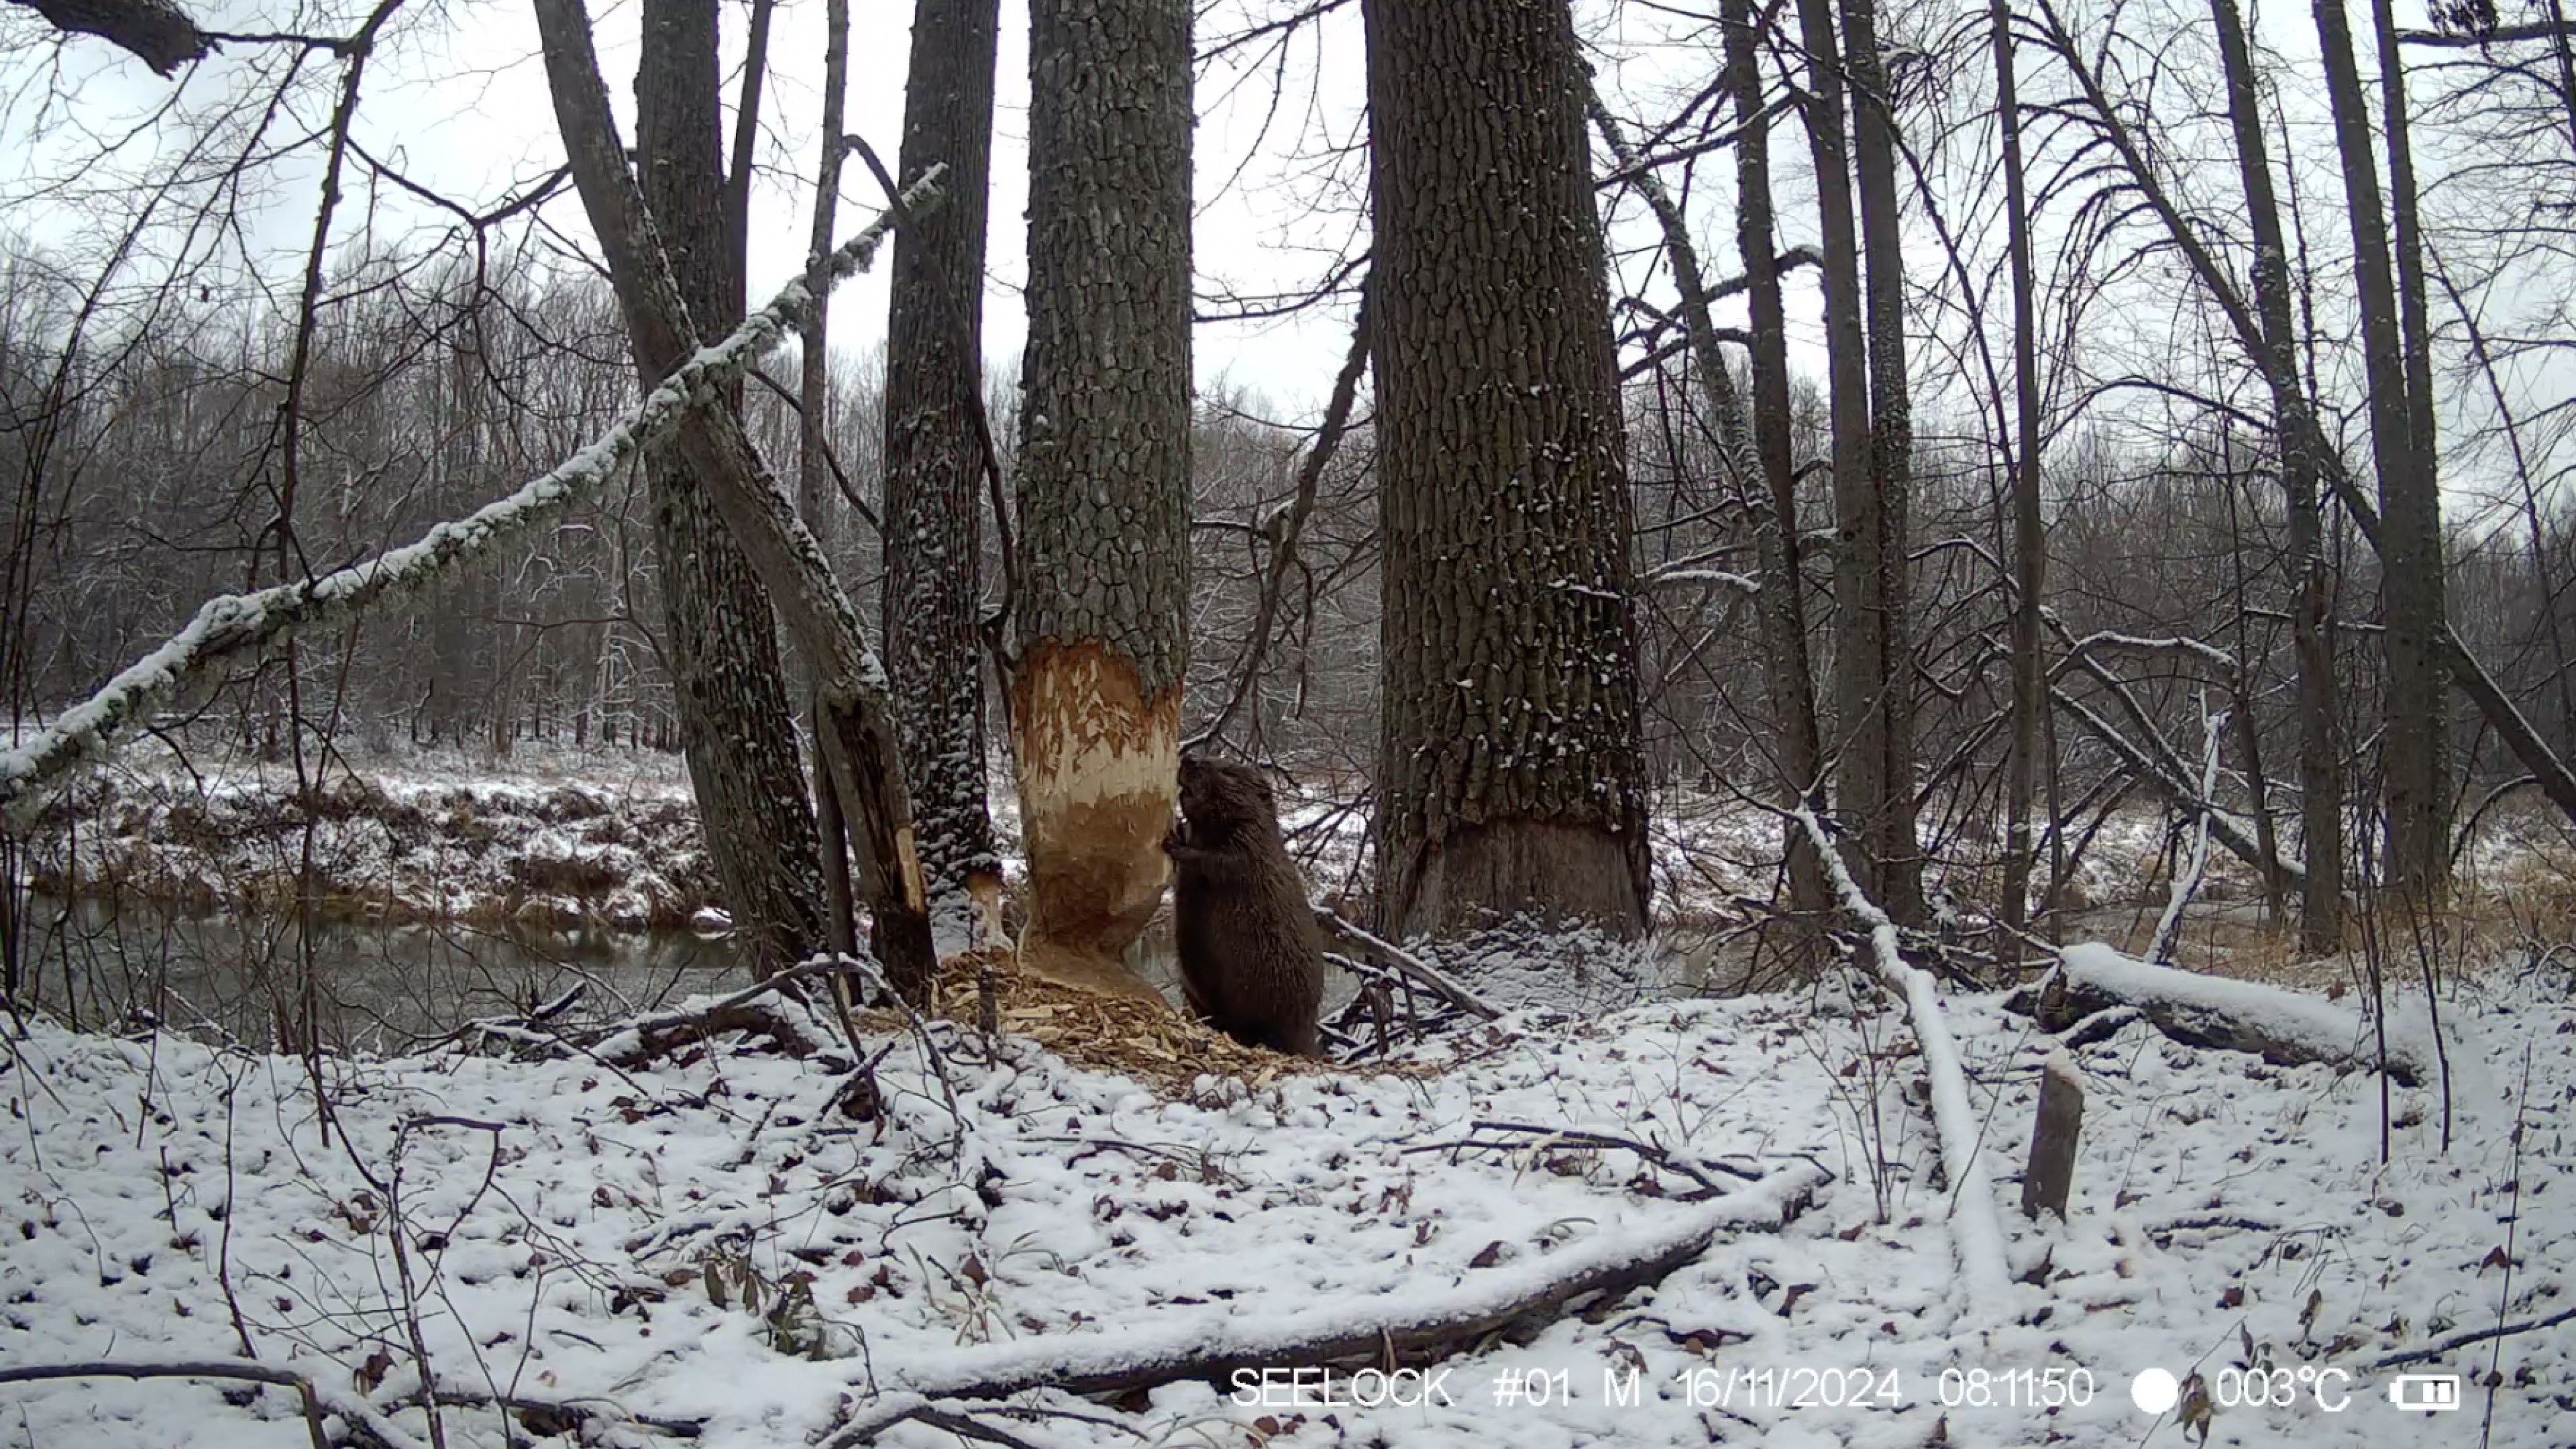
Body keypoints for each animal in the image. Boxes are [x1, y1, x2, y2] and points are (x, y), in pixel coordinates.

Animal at [1169, 757, 1329, 1046]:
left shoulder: (1251, 846)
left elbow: (1218, 862)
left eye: (1227, 771)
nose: (1188, 760)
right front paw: (1178, 825)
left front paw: (1174, 842)